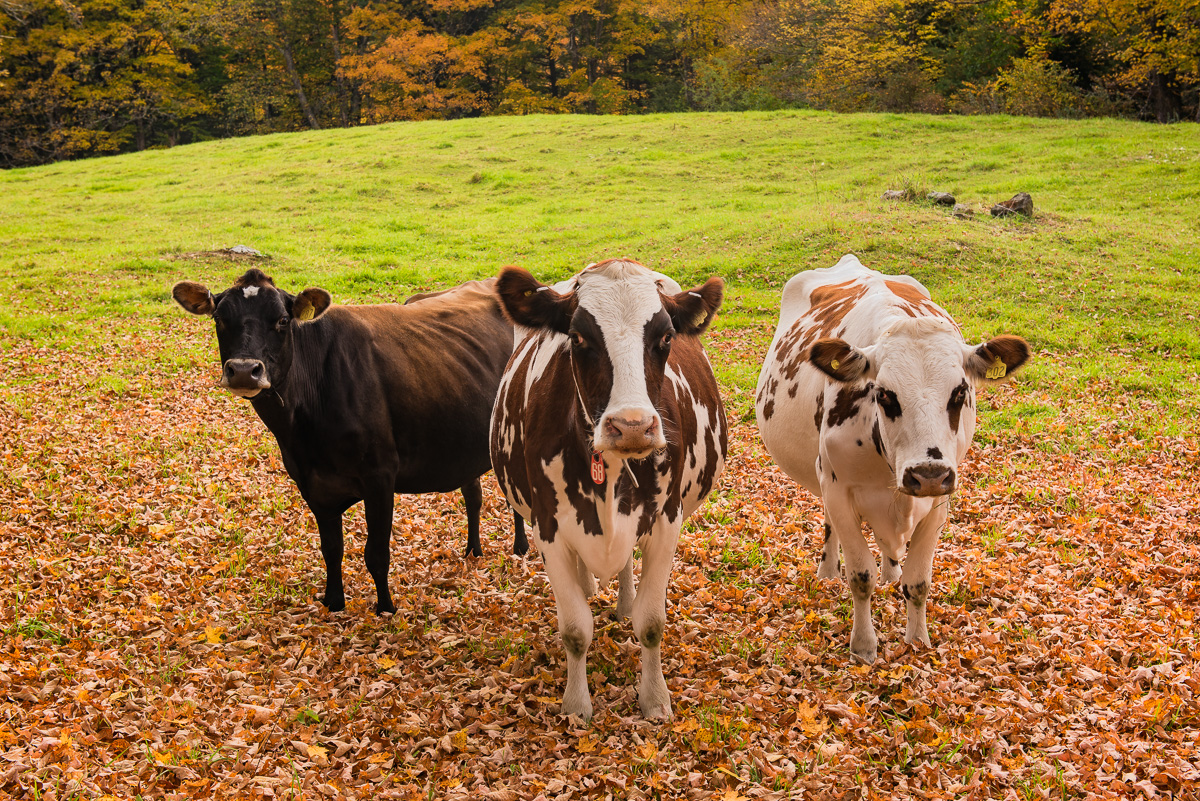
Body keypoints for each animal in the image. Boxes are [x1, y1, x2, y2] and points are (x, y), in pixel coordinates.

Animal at [171, 268, 528, 613]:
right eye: (219, 318)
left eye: (283, 320)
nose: (245, 370)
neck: (304, 434)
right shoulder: (311, 483)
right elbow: (331, 549)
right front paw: (334, 602)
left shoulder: (380, 476)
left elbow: (376, 553)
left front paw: (385, 608)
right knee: (473, 494)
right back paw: (473, 551)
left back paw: (520, 546)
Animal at [489, 257, 729, 719]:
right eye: (578, 337)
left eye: (665, 337)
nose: (632, 425)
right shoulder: (548, 527)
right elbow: (575, 629)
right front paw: (576, 703)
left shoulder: (667, 521)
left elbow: (651, 623)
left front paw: (654, 699)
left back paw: (623, 601)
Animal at [753, 255, 1027, 661]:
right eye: (883, 394)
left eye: (960, 392)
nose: (927, 473)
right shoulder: (838, 488)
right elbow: (860, 576)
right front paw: (864, 645)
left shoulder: (940, 499)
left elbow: (919, 581)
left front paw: (917, 639)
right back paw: (828, 571)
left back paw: (891, 572)